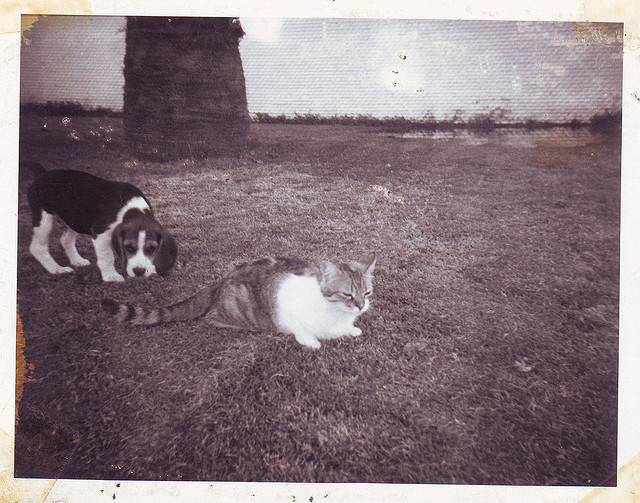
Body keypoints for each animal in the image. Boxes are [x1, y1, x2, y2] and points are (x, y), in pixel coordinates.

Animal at [23, 162, 177, 282]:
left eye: (152, 248)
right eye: (128, 247)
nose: (139, 271)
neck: (132, 209)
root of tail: (43, 173)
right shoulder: (100, 233)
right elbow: (107, 256)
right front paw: (111, 276)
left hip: (76, 219)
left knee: (65, 239)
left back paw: (77, 260)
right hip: (44, 218)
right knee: (38, 247)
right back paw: (56, 269)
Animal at [102, 254, 376, 349]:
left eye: (367, 294)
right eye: (348, 294)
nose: (361, 306)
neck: (335, 314)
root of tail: (223, 279)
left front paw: (352, 330)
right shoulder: (282, 301)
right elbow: (299, 329)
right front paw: (310, 341)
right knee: (211, 318)